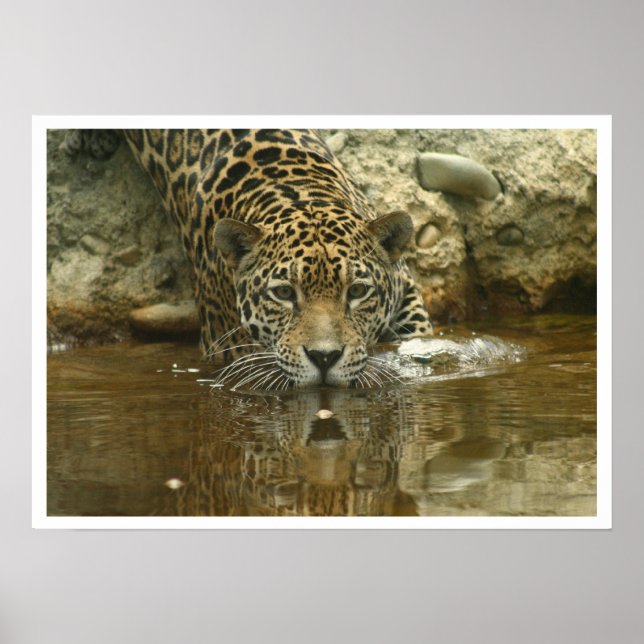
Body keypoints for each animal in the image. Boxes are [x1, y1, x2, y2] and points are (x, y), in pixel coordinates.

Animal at [66, 128, 433, 388]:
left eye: (357, 291)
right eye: (284, 293)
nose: (324, 358)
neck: (298, 189)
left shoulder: (406, 286)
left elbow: (419, 333)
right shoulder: (220, 349)